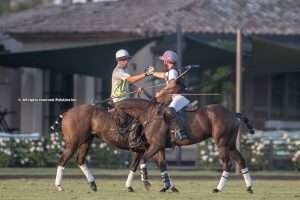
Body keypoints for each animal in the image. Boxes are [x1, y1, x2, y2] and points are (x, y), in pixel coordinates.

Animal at [116, 98, 254, 194]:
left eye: (116, 116)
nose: (121, 131)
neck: (150, 115)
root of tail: (233, 113)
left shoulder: (156, 145)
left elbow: (144, 160)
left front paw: (146, 182)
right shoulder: (159, 147)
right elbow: (162, 165)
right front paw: (167, 187)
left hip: (222, 143)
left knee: (227, 164)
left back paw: (218, 189)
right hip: (230, 144)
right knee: (241, 160)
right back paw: (249, 187)